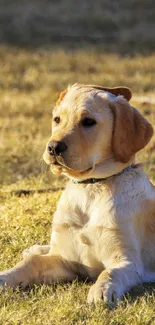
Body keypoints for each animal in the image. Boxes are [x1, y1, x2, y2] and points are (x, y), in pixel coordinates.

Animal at [0, 82, 155, 306]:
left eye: (88, 122)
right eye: (57, 119)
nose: (53, 147)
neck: (90, 189)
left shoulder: (127, 261)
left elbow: (110, 273)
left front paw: (101, 290)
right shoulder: (65, 260)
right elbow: (31, 263)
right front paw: (5, 275)